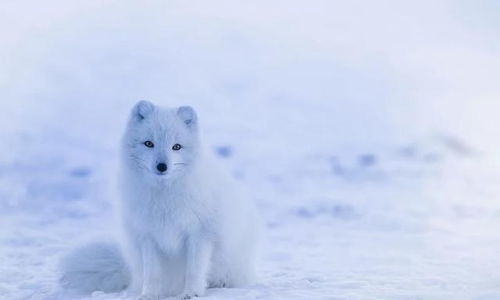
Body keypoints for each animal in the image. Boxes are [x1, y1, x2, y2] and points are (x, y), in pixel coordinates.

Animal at [60, 102, 260, 298]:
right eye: (149, 143)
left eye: (176, 147)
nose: (162, 166)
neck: (164, 196)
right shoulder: (148, 235)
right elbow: (152, 273)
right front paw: (149, 295)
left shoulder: (200, 233)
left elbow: (194, 270)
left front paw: (191, 293)